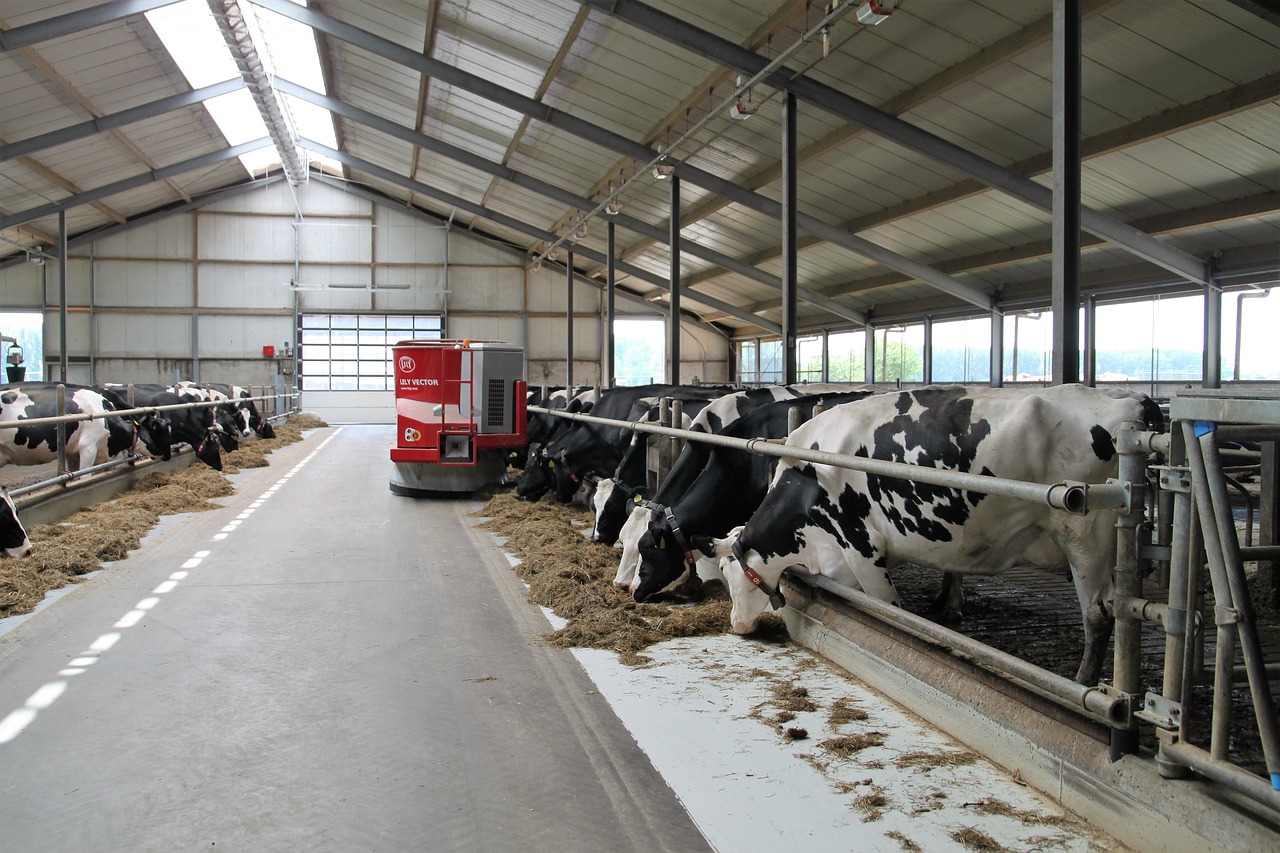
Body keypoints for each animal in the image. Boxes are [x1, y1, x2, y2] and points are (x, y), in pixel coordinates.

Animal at [701, 384, 1162, 686]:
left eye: (733, 576)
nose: (736, 626)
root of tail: (1130, 399)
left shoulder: (863, 549)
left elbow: (887, 609)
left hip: (1086, 533)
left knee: (1098, 614)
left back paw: (1083, 683)